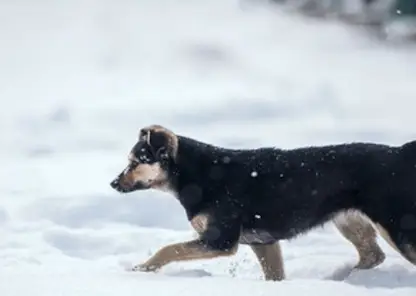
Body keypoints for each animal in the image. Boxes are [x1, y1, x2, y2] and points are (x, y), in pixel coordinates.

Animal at [109, 124, 416, 280]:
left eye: (135, 162)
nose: (113, 183)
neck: (195, 174)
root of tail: (401, 153)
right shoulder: (263, 242)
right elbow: (274, 274)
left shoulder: (221, 240)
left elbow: (168, 249)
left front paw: (139, 271)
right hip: (350, 220)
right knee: (372, 255)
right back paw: (341, 278)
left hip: (397, 227)